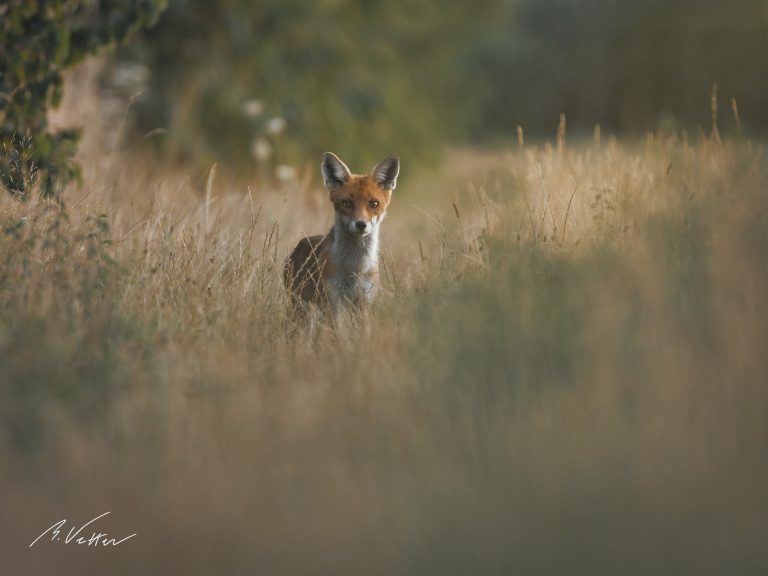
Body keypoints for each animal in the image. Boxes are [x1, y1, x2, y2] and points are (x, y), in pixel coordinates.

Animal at [284, 152, 402, 310]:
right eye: (347, 203)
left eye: (374, 204)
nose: (361, 224)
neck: (355, 268)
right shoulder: (333, 299)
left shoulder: (365, 299)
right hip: (298, 307)